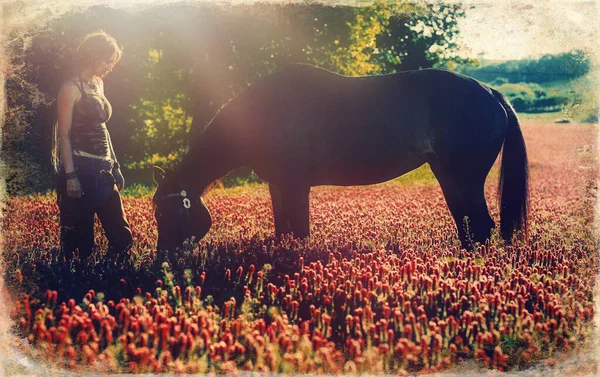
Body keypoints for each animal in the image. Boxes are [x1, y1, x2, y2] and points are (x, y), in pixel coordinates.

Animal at [152, 64, 528, 253]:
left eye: (170, 215)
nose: (162, 262)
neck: (265, 113)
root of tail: (491, 93)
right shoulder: (278, 186)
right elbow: (283, 230)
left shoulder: (296, 186)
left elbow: (300, 233)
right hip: (450, 178)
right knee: (469, 227)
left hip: (462, 179)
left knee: (480, 226)